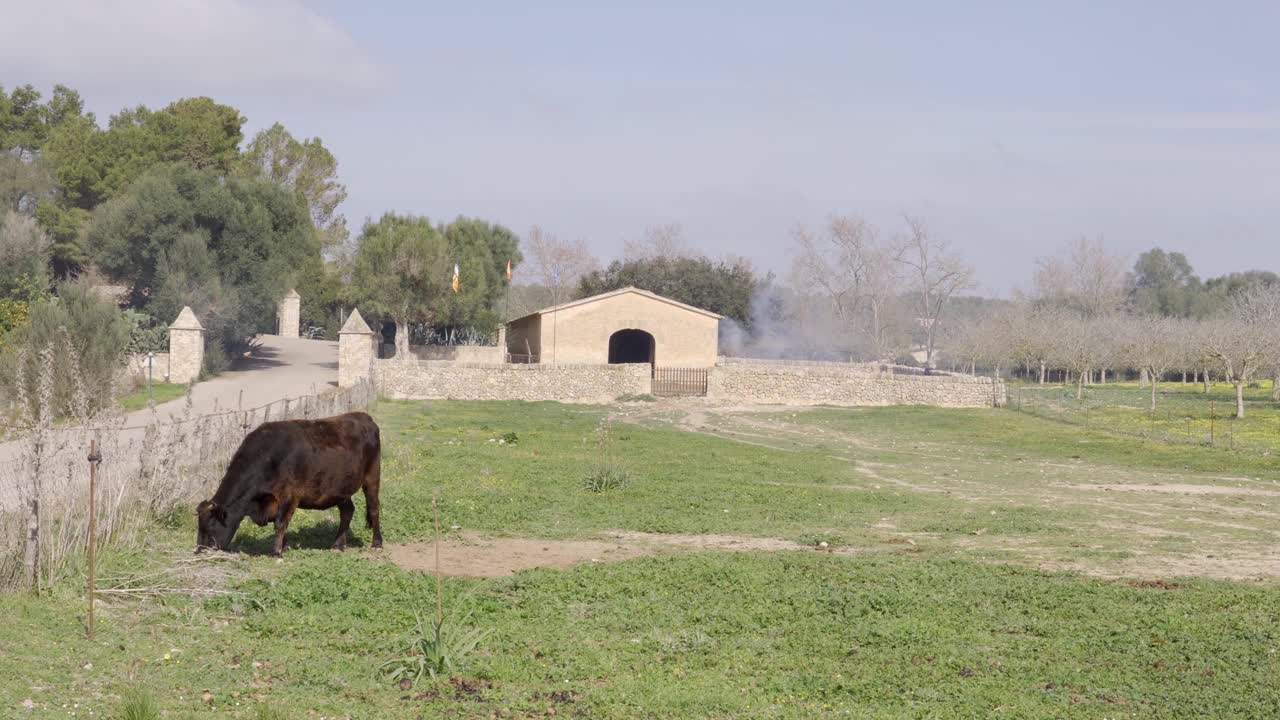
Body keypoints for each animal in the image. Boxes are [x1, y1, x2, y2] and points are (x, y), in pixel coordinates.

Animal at [194, 409, 381, 556]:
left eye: (211, 525)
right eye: (199, 526)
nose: (200, 549)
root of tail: (364, 416)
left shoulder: (290, 495)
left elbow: (280, 523)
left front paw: (276, 552)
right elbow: (280, 523)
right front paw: (284, 547)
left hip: (372, 477)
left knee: (373, 508)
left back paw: (377, 543)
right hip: (340, 489)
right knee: (347, 511)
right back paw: (337, 545)